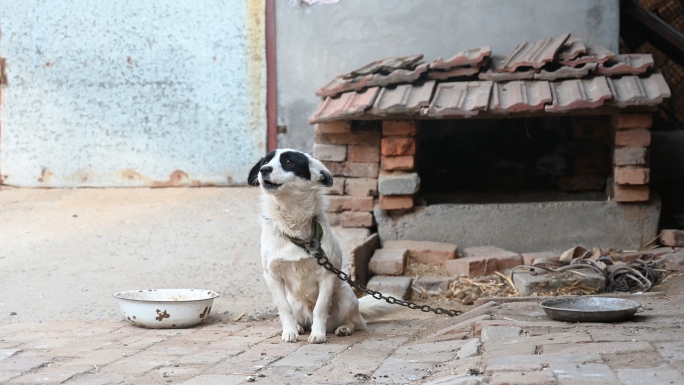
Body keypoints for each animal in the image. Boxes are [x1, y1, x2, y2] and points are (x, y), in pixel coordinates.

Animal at [248, 149, 396, 342]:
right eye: (265, 162)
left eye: (288, 161)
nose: (264, 170)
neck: (293, 221)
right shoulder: (272, 275)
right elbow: (283, 308)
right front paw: (289, 332)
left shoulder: (327, 275)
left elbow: (321, 308)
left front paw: (318, 334)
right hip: (295, 301)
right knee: (297, 315)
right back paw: (298, 327)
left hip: (346, 296)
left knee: (355, 322)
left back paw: (344, 328)